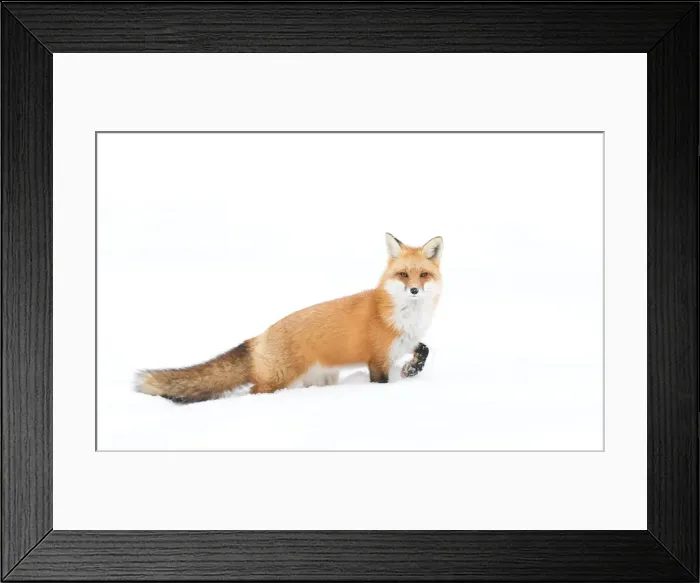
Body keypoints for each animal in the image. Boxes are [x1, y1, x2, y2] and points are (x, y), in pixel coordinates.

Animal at [136, 233, 443, 403]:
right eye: (403, 274)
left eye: (423, 274)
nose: (414, 289)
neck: (405, 316)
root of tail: (259, 336)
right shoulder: (377, 359)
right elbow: (381, 383)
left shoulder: (404, 343)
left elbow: (424, 349)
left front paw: (412, 368)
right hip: (277, 380)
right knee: (253, 392)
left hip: (321, 379)